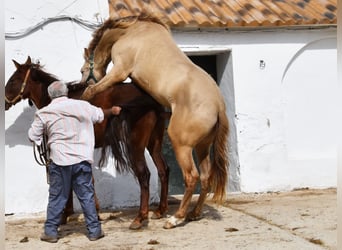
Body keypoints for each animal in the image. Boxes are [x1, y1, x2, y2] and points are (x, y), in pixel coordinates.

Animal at [4, 56, 170, 229]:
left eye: (14, 79)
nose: (4, 103)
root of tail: (151, 99)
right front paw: (91, 212)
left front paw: (65, 215)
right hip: (154, 144)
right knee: (163, 170)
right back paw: (160, 210)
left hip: (136, 144)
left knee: (144, 174)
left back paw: (140, 217)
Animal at [80, 13, 230, 229]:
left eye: (83, 70)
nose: (81, 80)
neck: (130, 31)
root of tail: (218, 105)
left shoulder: (120, 71)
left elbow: (91, 91)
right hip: (202, 146)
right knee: (205, 176)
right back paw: (193, 213)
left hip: (181, 144)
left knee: (191, 177)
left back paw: (175, 218)